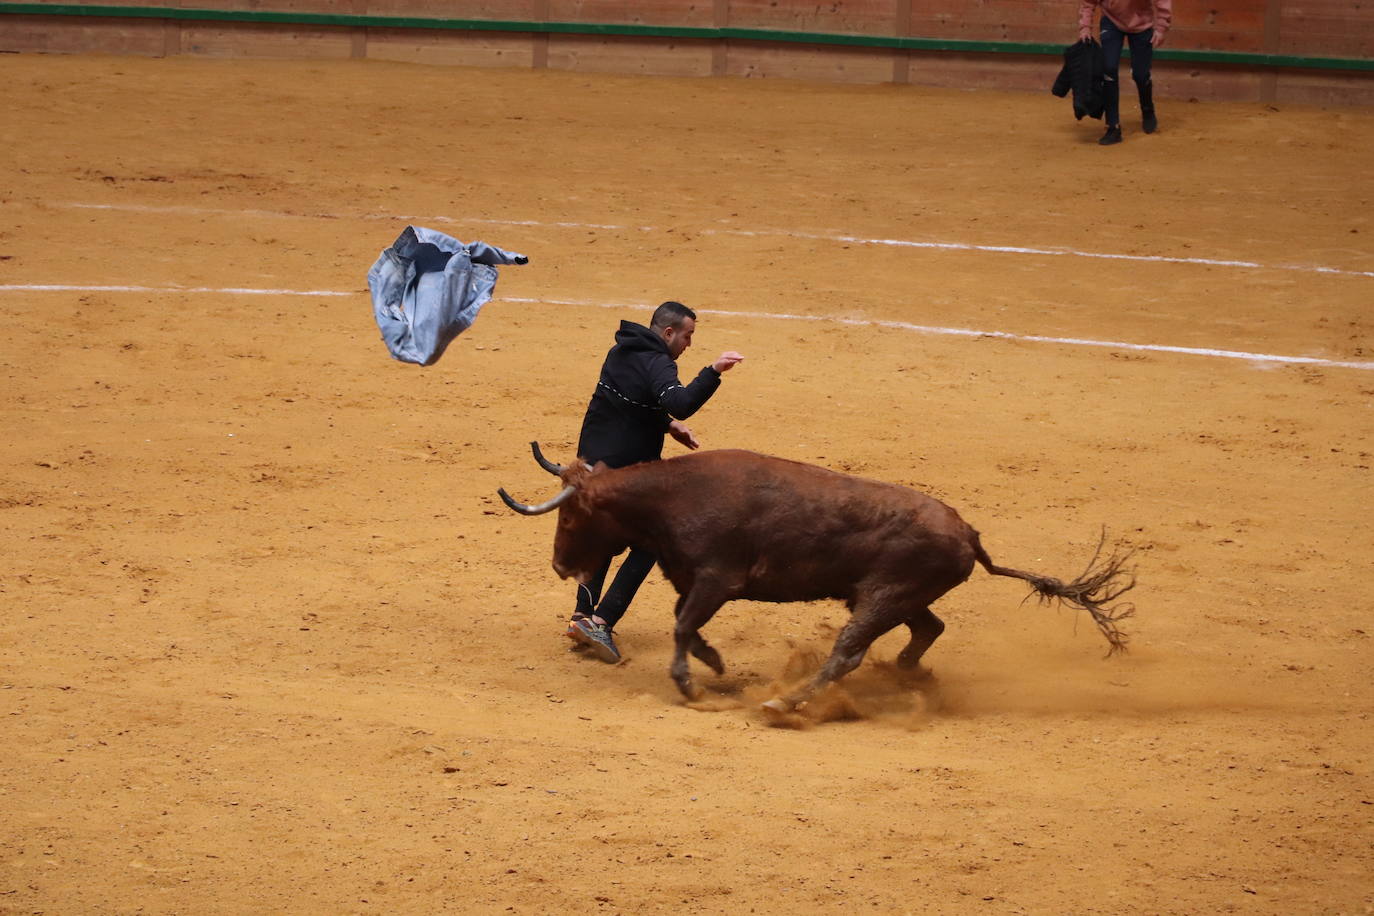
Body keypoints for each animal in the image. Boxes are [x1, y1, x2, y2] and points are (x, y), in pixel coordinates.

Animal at [500, 444, 1132, 714]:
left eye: (571, 516)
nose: (561, 566)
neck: (672, 495)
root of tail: (969, 533)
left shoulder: (716, 580)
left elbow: (681, 628)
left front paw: (691, 684)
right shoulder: (694, 582)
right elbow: (687, 626)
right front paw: (716, 664)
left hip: (882, 598)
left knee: (847, 653)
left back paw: (787, 702)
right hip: (897, 597)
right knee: (928, 629)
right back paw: (908, 676)